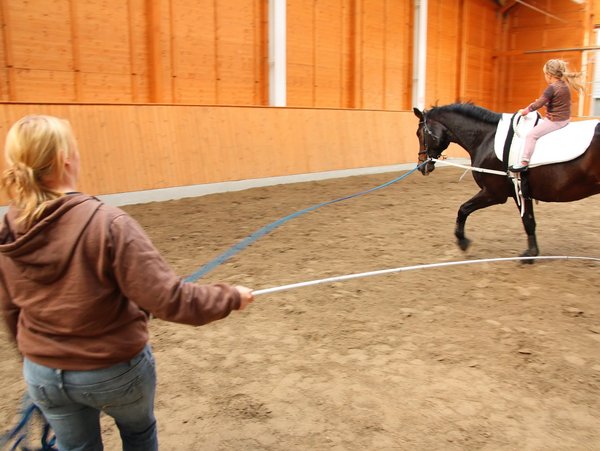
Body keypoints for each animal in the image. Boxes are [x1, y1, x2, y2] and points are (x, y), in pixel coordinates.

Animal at [412, 102, 600, 258]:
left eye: (420, 134)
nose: (421, 166)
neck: (487, 139)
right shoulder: (522, 193)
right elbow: (529, 221)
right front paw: (532, 253)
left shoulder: (495, 193)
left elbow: (463, 209)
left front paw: (462, 242)